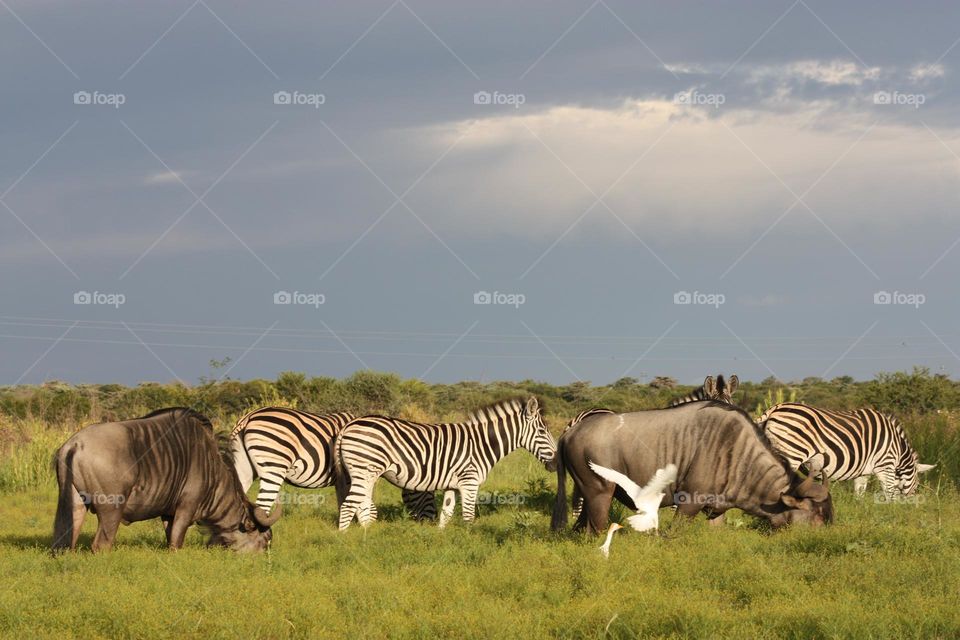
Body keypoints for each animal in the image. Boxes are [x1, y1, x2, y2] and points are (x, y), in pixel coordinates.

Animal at [227, 410, 436, 520]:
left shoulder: (342, 480)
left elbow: (343, 501)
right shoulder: (357, 476)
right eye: (430, 493)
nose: (430, 522)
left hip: (244, 468)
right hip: (273, 464)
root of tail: (248, 417)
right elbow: (361, 503)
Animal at [334, 396, 556, 528]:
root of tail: (348, 425)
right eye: (542, 431)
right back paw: (346, 542)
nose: (555, 463)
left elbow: (446, 515)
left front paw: (442, 543)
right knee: (348, 506)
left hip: (365, 475)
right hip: (364, 470)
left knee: (362, 506)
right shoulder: (469, 482)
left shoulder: (453, 485)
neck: (482, 443)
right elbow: (468, 517)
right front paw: (469, 542)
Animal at [760, 402, 932, 498]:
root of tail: (774, 409)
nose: (908, 507)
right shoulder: (886, 465)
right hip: (792, 454)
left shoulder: (864, 473)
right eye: (917, 485)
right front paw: (890, 515)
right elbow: (889, 493)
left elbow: (860, 494)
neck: (899, 450)